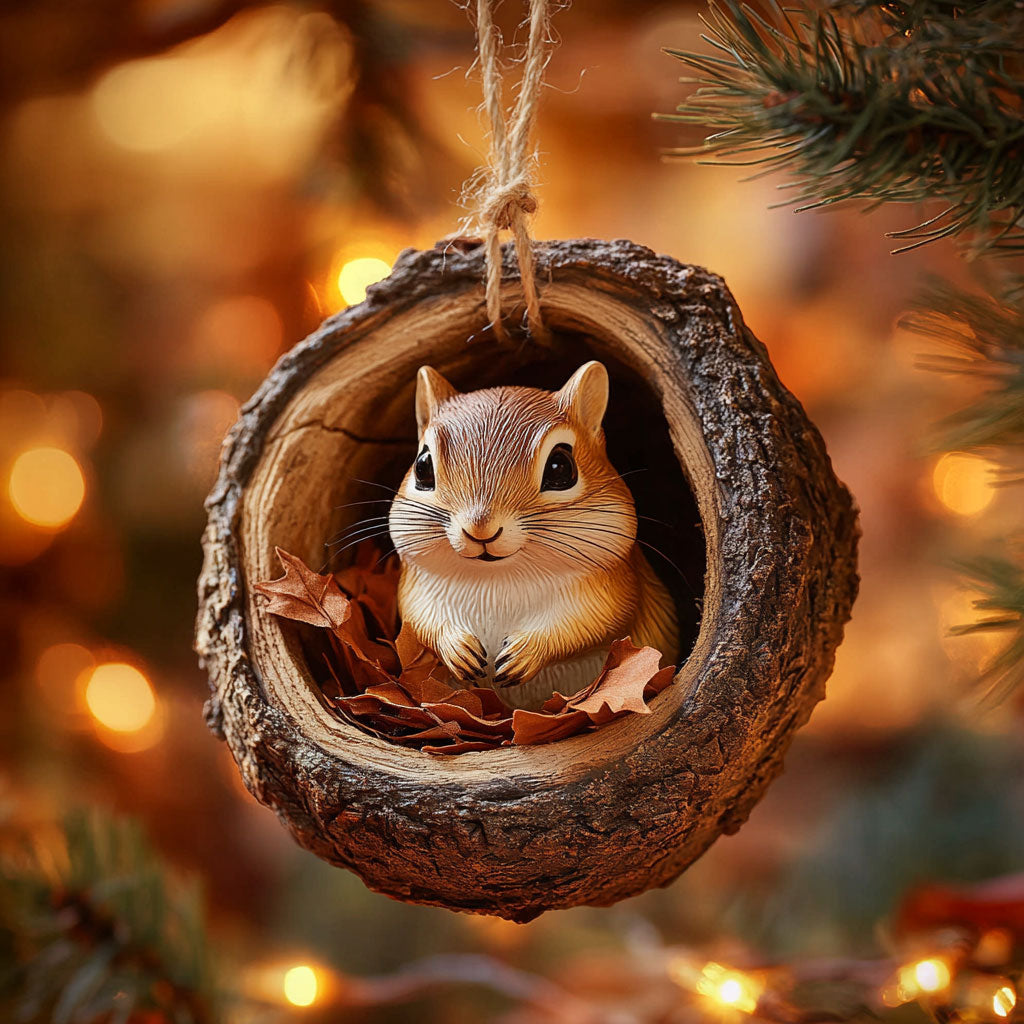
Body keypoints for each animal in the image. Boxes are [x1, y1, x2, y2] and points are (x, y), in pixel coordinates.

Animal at [388, 361, 679, 710]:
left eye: (560, 467)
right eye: (422, 466)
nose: (480, 528)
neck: (497, 580)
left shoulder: (616, 584)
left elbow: (596, 621)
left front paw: (526, 652)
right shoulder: (417, 584)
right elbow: (419, 618)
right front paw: (457, 648)